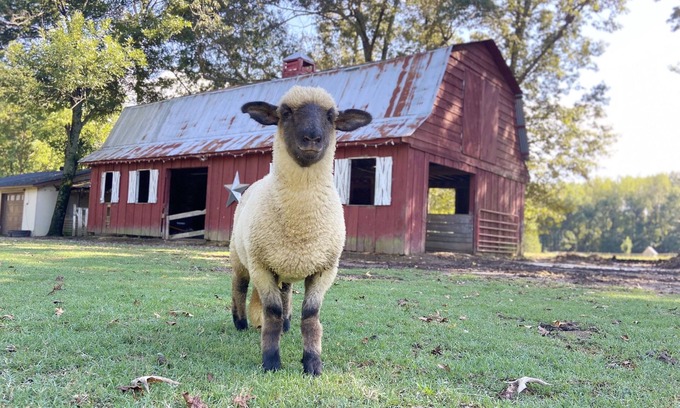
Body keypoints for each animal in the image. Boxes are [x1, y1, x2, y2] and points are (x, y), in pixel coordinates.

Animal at [231, 86, 372, 375]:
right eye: (285, 113)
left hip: (283, 266)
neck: (301, 225)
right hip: (239, 257)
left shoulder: (326, 269)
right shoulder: (261, 266)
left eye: (331, 116)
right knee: (239, 287)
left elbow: (310, 315)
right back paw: (240, 323)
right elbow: (271, 311)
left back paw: (286, 326)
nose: (312, 139)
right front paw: (271, 362)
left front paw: (313, 363)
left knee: (285, 294)